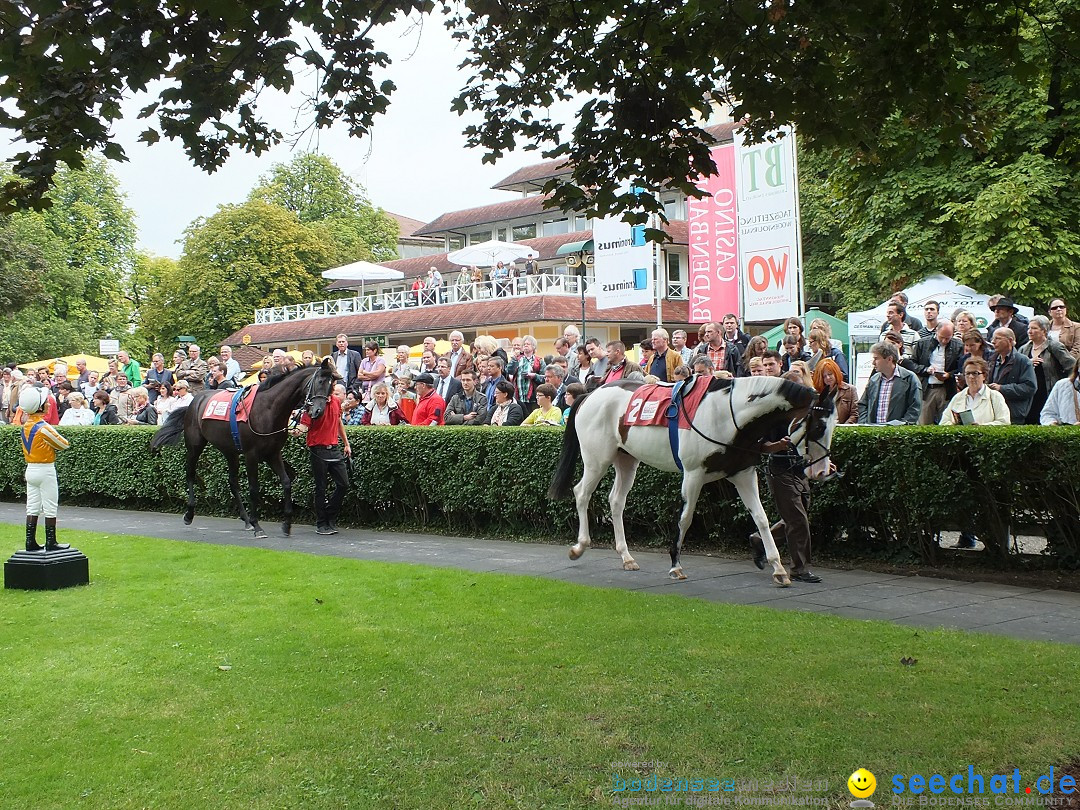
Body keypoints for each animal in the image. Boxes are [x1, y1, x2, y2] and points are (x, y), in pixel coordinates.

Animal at [150, 360, 339, 540]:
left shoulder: (273, 453)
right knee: (190, 473)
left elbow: (286, 482)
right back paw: (189, 514)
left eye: (331, 386)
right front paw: (258, 526)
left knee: (232, 482)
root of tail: (195, 401)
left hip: (230, 451)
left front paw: (286, 524)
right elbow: (254, 488)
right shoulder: (251, 455)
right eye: (320, 381)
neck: (267, 409)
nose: (318, 411)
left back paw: (246, 519)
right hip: (194, 446)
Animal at [548, 378, 833, 587]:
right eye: (818, 427)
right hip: (597, 459)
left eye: (832, 424)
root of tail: (591, 394)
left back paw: (626, 556)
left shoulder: (743, 473)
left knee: (616, 501)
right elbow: (685, 518)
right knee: (581, 493)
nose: (822, 471)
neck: (729, 414)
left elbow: (761, 519)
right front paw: (676, 565)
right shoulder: (694, 473)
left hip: (626, 460)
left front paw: (778, 568)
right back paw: (579, 546)